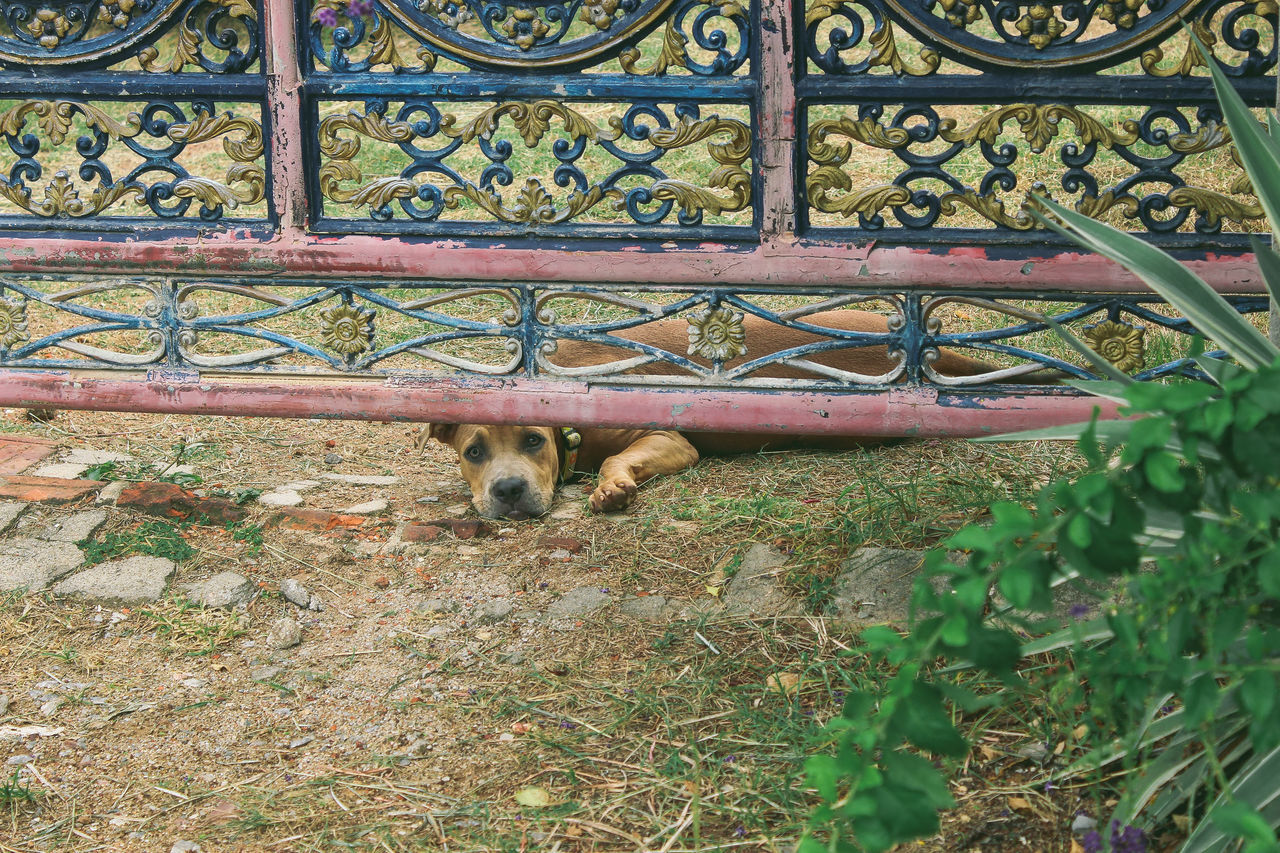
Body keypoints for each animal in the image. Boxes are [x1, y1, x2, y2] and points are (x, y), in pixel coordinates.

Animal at [424, 308, 1044, 514]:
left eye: (534, 440)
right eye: (473, 452)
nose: (506, 490)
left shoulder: (667, 437)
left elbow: (616, 462)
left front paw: (611, 487)